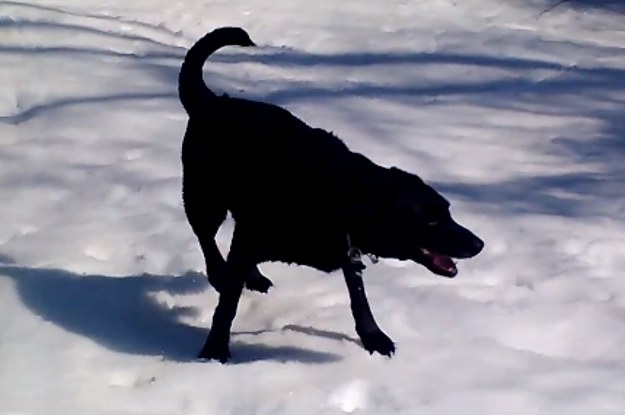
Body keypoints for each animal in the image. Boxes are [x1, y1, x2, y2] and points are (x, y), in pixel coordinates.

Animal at [176, 26, 482, 364]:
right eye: (430, 220)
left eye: (448, 211)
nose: (478, 244)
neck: (337, 195)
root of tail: (212, 102)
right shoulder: (255, 236)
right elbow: (227, 304)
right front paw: (215, 348)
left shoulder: (347, 250)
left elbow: (359, 298)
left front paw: (373, 336)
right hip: (204, 198)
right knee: (206, 238)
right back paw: (220, 273)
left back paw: (253, 277)